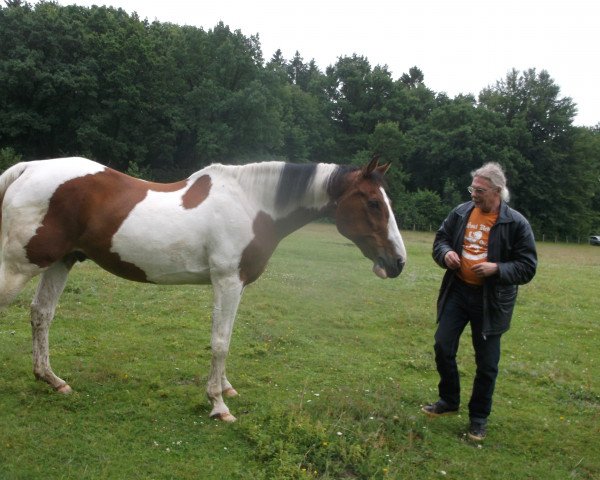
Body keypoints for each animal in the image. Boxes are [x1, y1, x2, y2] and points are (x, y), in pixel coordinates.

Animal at [0, 156, 406, 422]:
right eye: (373, 203)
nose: (398, 262)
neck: (252, 204)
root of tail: (29, 168)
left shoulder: (233, 285)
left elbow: (226, 338)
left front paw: (224, 388)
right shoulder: (227, 281)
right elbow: (220, 341)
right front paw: (218, 404)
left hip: (60, 261)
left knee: (42, 315)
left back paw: (53, 380)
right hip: (21, 265)